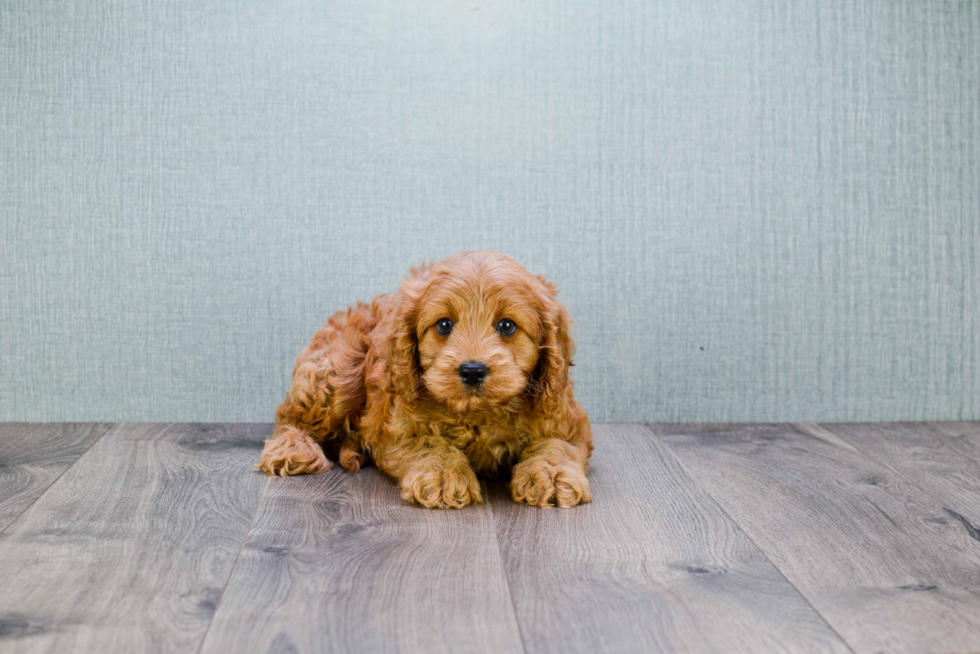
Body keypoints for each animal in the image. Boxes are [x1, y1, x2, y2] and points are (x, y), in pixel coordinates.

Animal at [256, 251, 592, 512]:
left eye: (507, 326)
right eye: (444, 325)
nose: (472, 370)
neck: (477, 414)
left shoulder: (567, 420)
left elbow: (555, 443)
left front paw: (551, 475)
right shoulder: (396, 427)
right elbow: (429, 443)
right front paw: (444, 476)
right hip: (336, 373)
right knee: (289, 416)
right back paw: (293, 449)